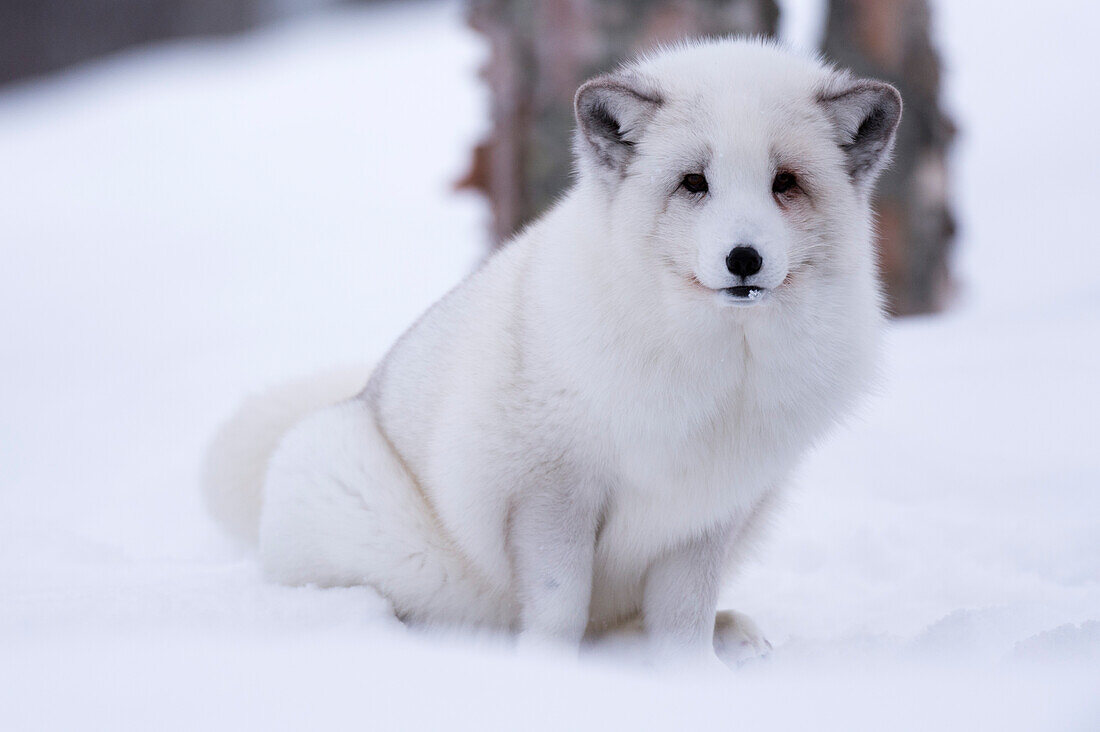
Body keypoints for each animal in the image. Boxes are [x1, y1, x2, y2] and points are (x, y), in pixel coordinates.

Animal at [206, 38, 902, 669]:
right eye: (694, 183)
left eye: (785, 182)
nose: (744, 259)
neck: (718, 371)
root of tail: (353, 398)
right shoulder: (549, 488)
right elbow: (560, 604)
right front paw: (550, 677)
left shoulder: (707, 510)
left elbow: (682, 618)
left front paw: (694, 680)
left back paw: (734, 633)